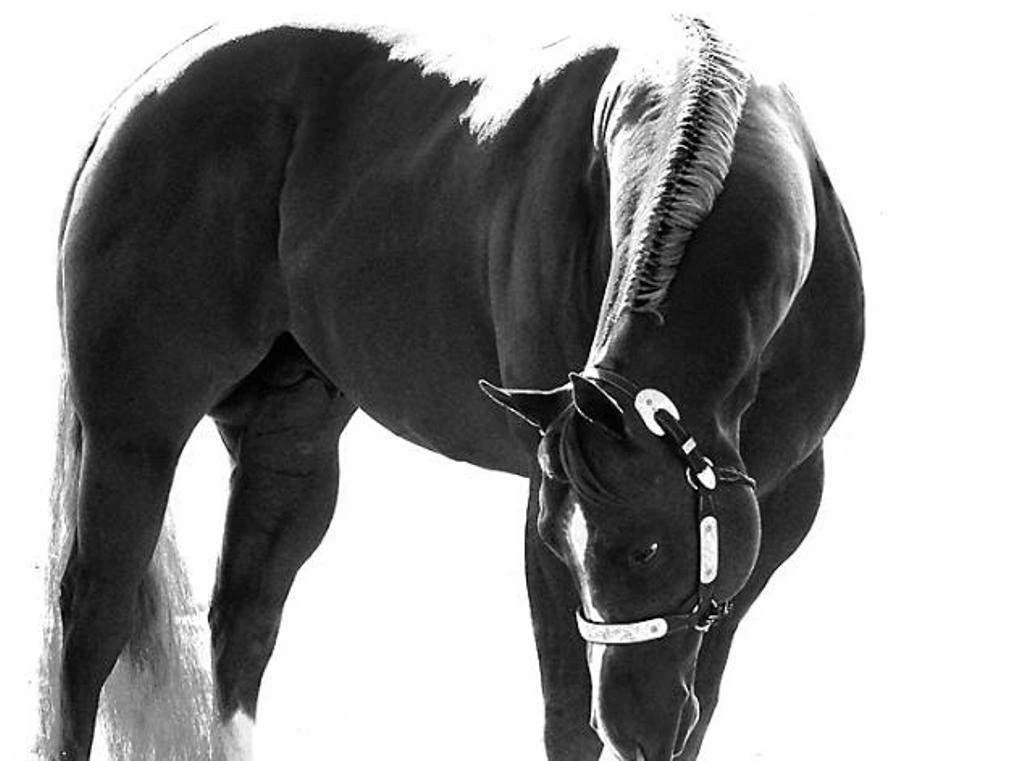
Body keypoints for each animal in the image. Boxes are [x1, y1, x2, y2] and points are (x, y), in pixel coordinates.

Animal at [39, 13, 863, 761]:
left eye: (648, 550)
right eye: (582, 548)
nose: (632, 729)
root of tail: (138, 99)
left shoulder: (772, 515)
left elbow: (703, 701)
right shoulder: (545, 511)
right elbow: (566, 719)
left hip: (288, 437)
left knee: (244, 620)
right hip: (133, 434)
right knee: (95, 621)